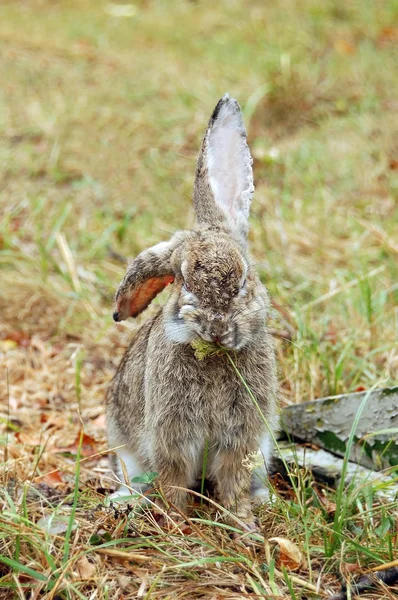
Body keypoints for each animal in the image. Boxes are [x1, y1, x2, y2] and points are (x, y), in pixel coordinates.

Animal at [107, 91, 278, 528]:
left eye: (243, 279)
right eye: (183, 281)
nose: (217, 329)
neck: (214, 356)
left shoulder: (243, 436)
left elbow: (232, 476)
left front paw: (243, 523)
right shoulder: (172, 433)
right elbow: (174, 476)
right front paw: (175, 522)